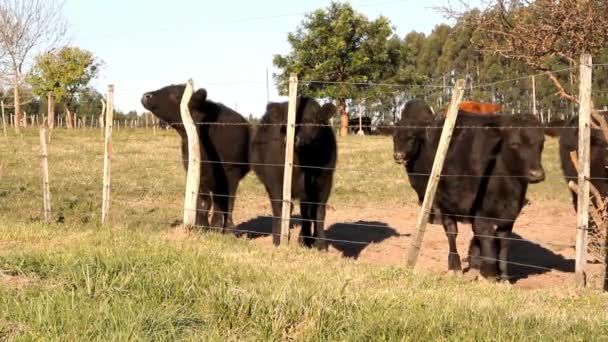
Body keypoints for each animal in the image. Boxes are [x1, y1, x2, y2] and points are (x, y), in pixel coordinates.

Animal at [141, 85, 249, 232]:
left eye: (175, 94)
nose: (146, 95)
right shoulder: (197, 173)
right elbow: (203, 201)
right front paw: (201, 226)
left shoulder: (232, 174)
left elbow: (227, 201)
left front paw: (225, 229)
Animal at [251, 97, 338, 250]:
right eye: (286, 123)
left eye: (312, 121)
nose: (294, 139)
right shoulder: (276, 183)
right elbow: (281, 209)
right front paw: (279, 239)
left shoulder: (324, 182)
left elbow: (318, 211)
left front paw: (320, 243)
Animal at [394, 100, 548, 282]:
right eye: (514, 144)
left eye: (542, 142)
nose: (537, 174)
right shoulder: (482, 215)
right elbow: (487, 242)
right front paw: (489, 276)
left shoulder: (508, 216)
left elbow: (503, 246)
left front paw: (503, 277)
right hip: (444, 202)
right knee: (452, 232)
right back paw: (455, 266)